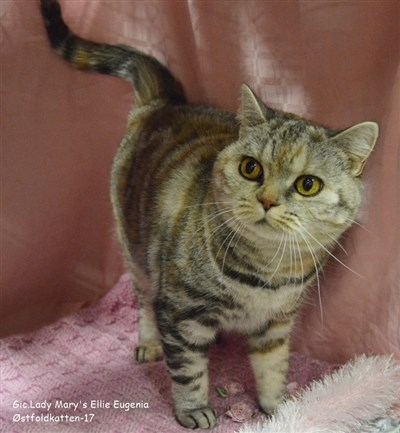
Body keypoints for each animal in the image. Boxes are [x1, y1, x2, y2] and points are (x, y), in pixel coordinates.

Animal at [42, 0, 380, 428]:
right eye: (251, 168)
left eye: (308, 185)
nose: (267, 200)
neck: (266, 273)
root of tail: (164, 103)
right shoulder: (180, 312)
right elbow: (187, 369)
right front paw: (193, 410)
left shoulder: (277, 324)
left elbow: (273, 368)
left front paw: (279, 408)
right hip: (135, 249)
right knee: (143, 300)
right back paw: (149, 343)